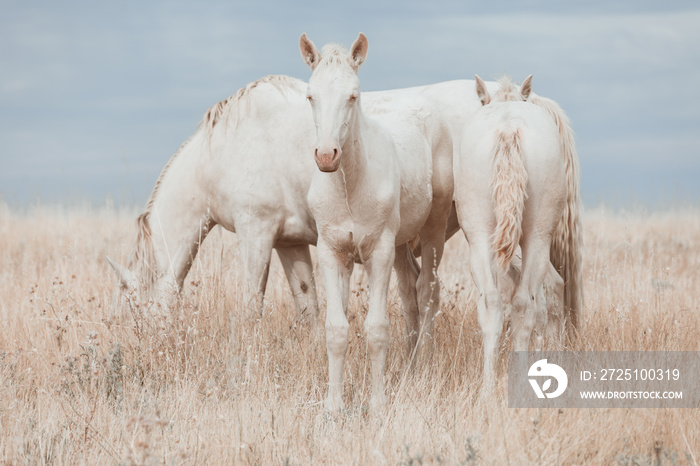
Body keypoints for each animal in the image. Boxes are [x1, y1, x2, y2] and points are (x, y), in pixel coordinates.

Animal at [300, 33, 454, 412]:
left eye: (352, 96)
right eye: (311, 96)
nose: (326, 156)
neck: (349, 187)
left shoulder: (378, 252)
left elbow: (377, 329)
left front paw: (378, 403)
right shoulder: (332, 252)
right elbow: (337, 329)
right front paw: (333, 406)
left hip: (432, 230)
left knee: (428, 291)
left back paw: (425, 369)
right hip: (400, 244)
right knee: (411, 292)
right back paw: (408, 369)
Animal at [454, 75, 568, 394]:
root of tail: (507, 129)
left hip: (481, 236)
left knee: (497, 305)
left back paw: (490, 388)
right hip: (536, 238)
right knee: (521, 304)